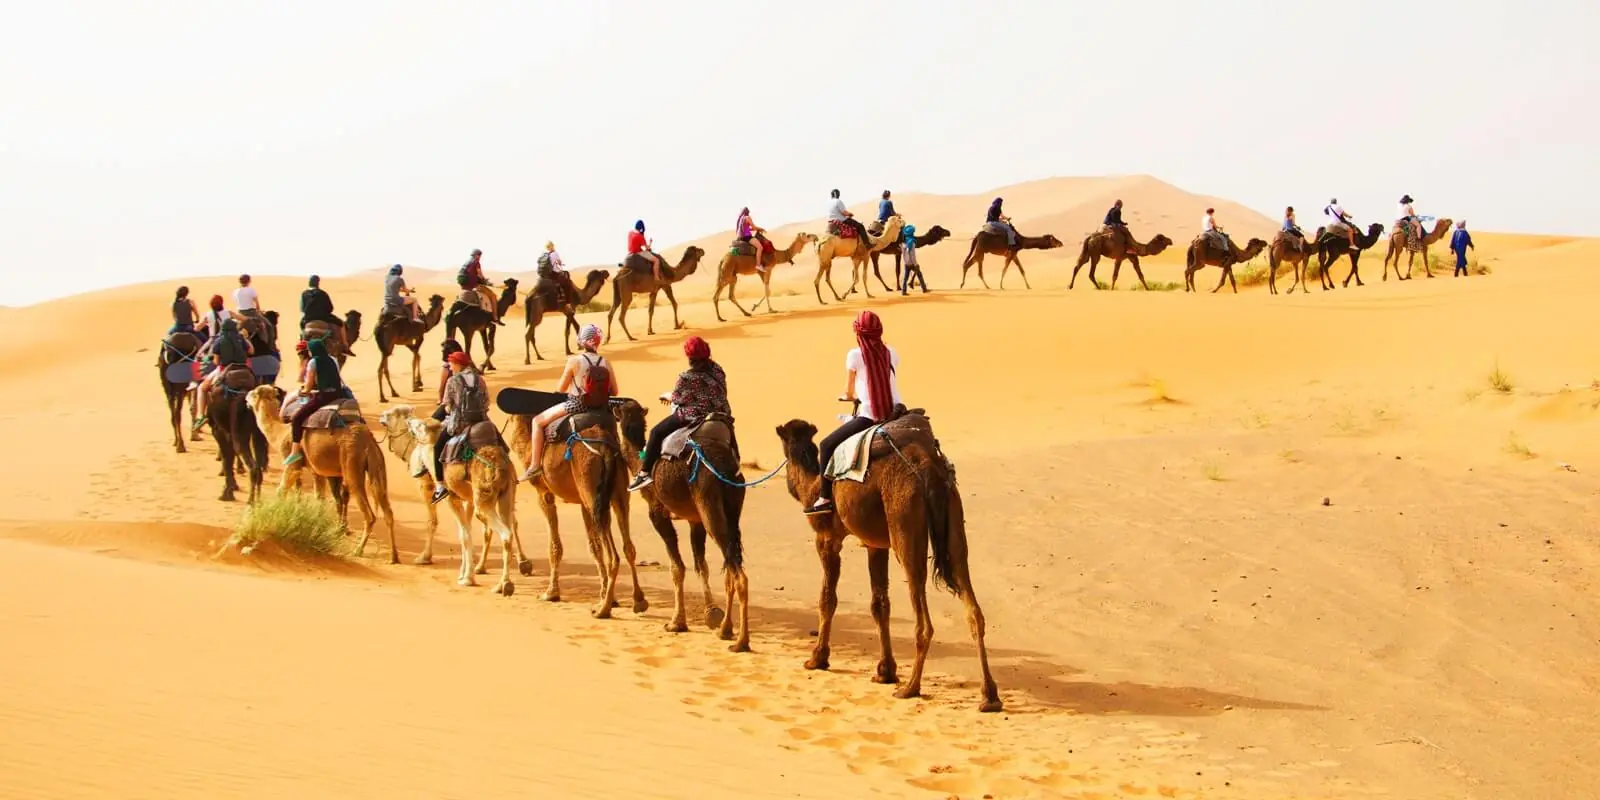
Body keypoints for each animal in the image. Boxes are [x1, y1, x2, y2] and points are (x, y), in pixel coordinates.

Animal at [251, 386, 399, 563]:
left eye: (253, 393)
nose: (246, 397)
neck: (280, 431)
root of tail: (369, 441)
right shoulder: (316, 470)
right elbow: (319, 497)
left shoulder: (291, 460)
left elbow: (282, 490)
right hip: (377, 465)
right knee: (388, 512)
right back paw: (394, 556)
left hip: (352, 465)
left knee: (369, 514)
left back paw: (358, 550)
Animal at [407, 415, 521, 593]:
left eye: (419, 425)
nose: (409, 420)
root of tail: (499, 467)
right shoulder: (468, 499)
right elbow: (464, 533)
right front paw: (464, 574)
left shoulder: (452, 498)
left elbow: (465, 535)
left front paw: (467, 579)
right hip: (506, 493)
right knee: (509, 524)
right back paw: (503, 583)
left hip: (483, 497)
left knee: (505, 534)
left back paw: (503, 585)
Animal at [509, 408, 647, 618]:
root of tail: (605, 449)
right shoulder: (583, 502)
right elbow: (594, 547)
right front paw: (607, 594)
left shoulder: (544, 493)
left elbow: (555, 546)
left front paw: (551, 593)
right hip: (616, 493)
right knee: (628, 546)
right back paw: (638, 601)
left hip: (590, 486)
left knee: (613, 555)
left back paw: (603, 609)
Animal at [615, 401, 750, 650]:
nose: (613, 404)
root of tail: (725, 467)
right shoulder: (694, 520)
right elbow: (701, 565)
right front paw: (711, 613)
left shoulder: (657, 513)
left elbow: (676, 567)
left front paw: (676, 622)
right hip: (732, 508)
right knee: (730, 564)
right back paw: (725, 630)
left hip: (709, 506)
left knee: (739, 575)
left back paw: (741, 642)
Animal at [775, 412, 1002, 712]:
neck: (809, 484)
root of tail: (928, 469)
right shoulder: (875, 545)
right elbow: (879, 604)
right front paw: (885, 671)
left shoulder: (827, 537)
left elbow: (827, 598)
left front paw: (817, 659)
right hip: (954, 518)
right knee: (972, 604)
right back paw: (989, 696)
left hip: (904, 521)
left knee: (923, 614)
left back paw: (911, 688)